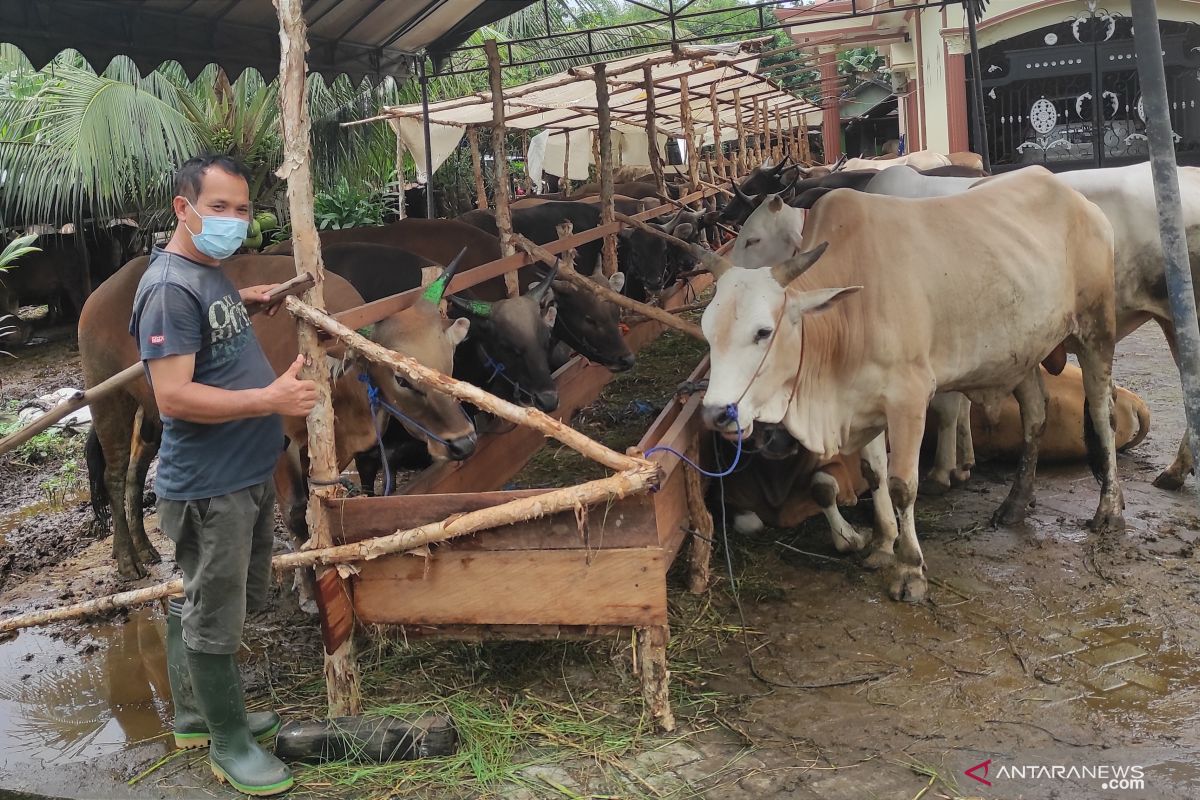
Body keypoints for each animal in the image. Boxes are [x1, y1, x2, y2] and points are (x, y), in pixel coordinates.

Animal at [78, 253, 472, 578]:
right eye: (402, 378)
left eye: (449, 363)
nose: (464, 442)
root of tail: (99, 293)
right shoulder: (282, 442)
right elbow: (297, 511)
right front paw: (309, 585)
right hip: (108, 397)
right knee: (113, 475)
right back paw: (127, 560)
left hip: (154, 414)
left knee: (135, 471)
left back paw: (142, 548)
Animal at [696, 170, 1123, 606]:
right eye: (707, 331)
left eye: (763, 331)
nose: (716, 413)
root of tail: (1078, 200)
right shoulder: (864, 403)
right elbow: (874, 472)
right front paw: (883, 544)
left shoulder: (910, 398)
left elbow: (903, 485)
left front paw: (909, 569)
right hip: (1024, 351)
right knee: (1035, 415)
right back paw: (1015, 505)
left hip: (1097, 329)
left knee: (1102, 412)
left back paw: (1109, 510)